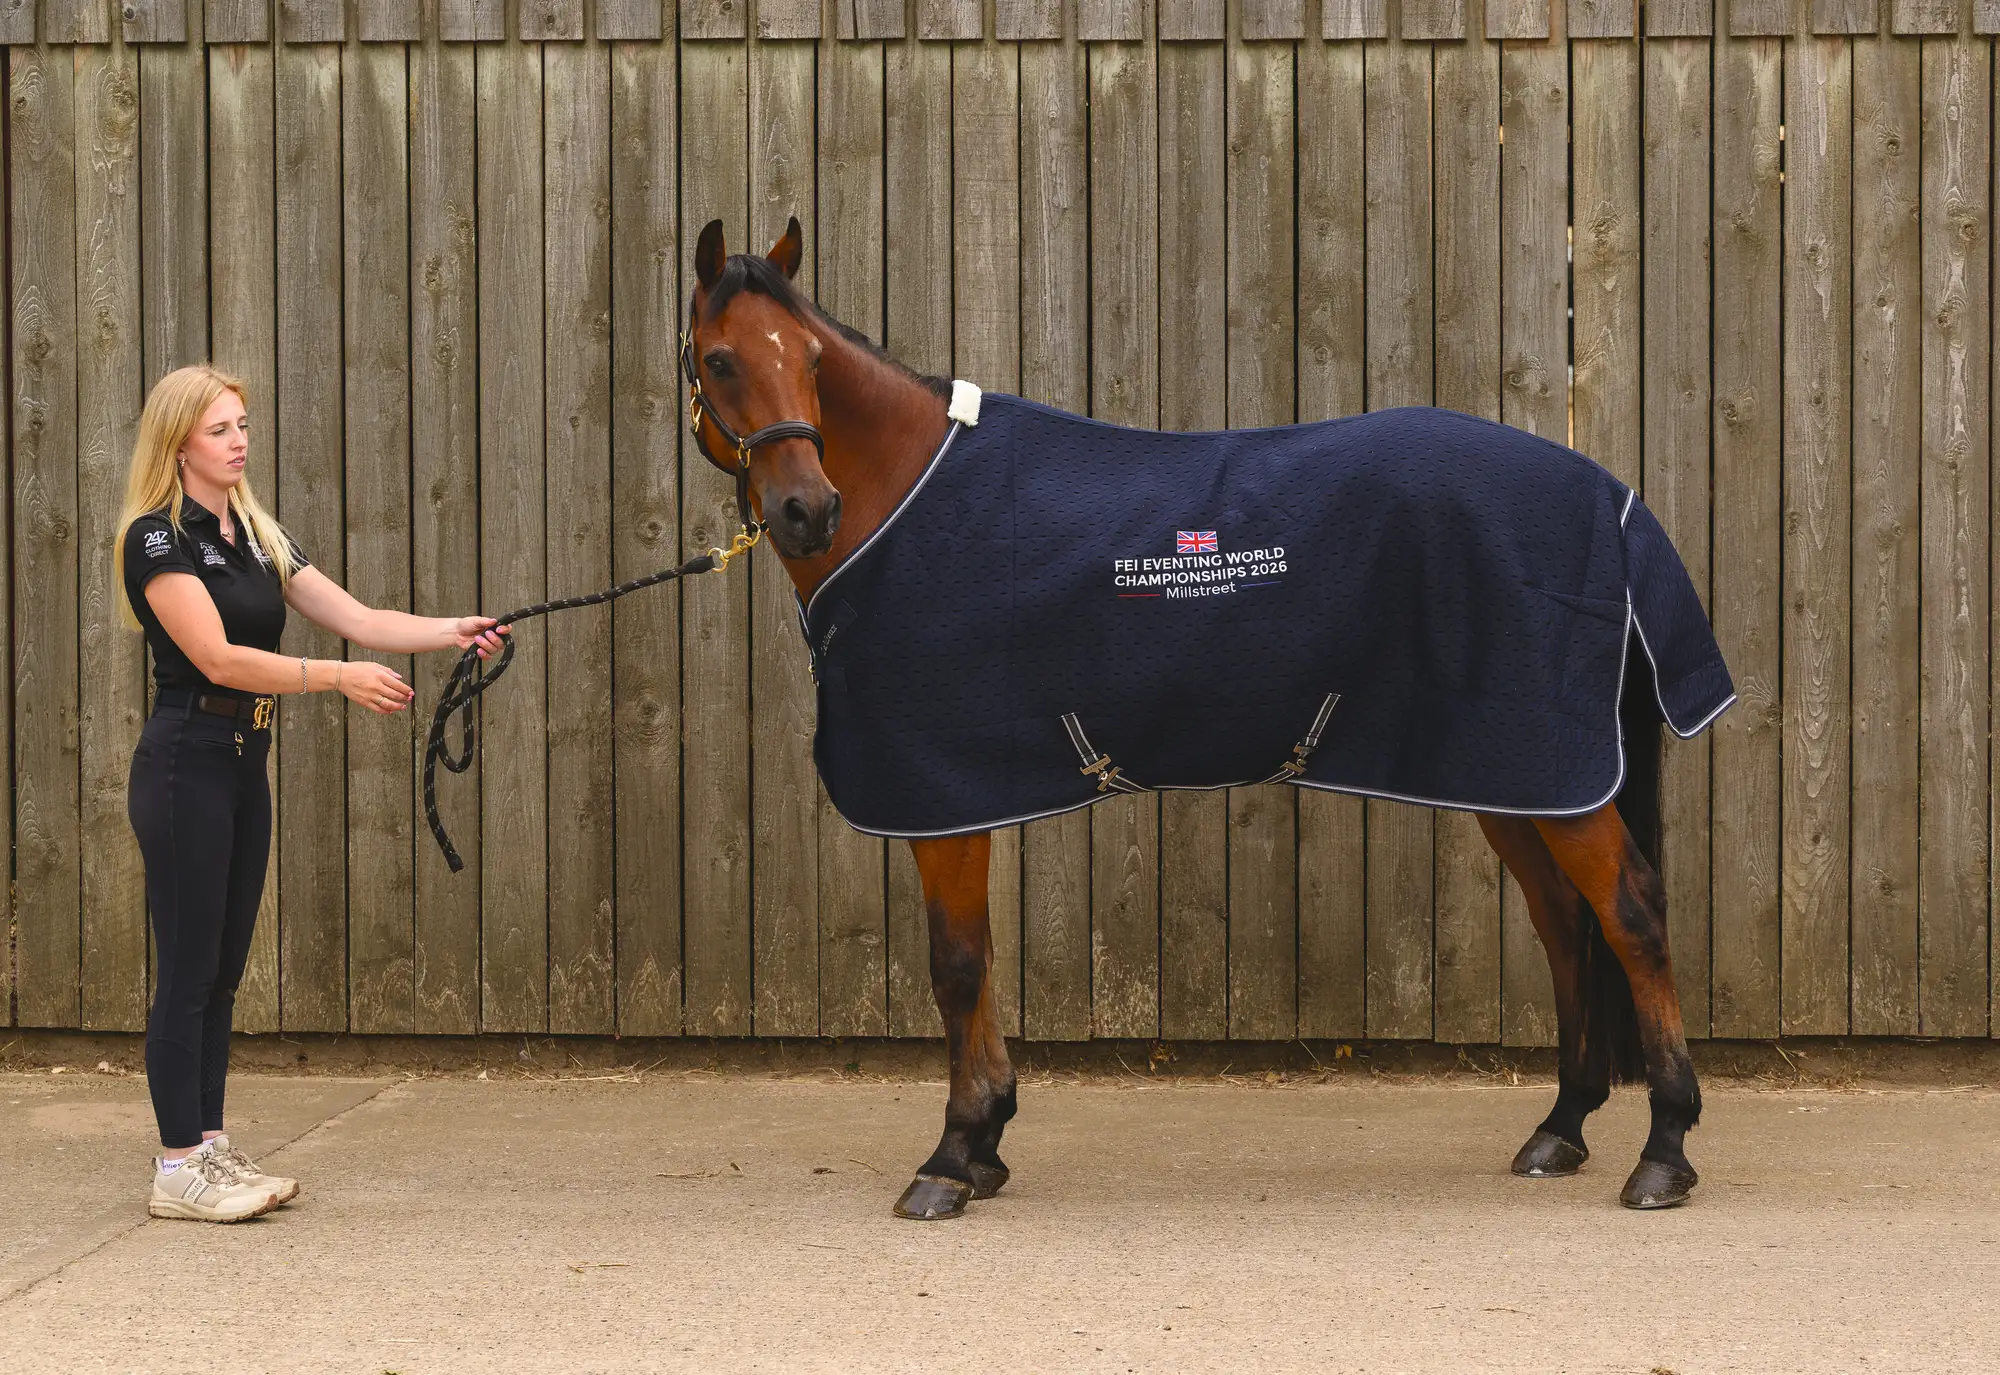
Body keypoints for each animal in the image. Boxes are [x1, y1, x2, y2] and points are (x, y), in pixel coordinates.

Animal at [683, 215, 1718, 1220]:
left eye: (811, 359)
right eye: (721, 359)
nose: (807, 510)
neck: (907, 498)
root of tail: (1609, 498)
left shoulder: (944, 798)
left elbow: (958, 965)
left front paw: (952, 1155)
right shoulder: (959, 799)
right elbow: (977, 959)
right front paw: (986, 1145)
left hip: (1554, 775)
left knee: (1630, 912)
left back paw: (1664, 1150)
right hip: (1511, 773)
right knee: (1564, 921)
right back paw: (1562, 1125)